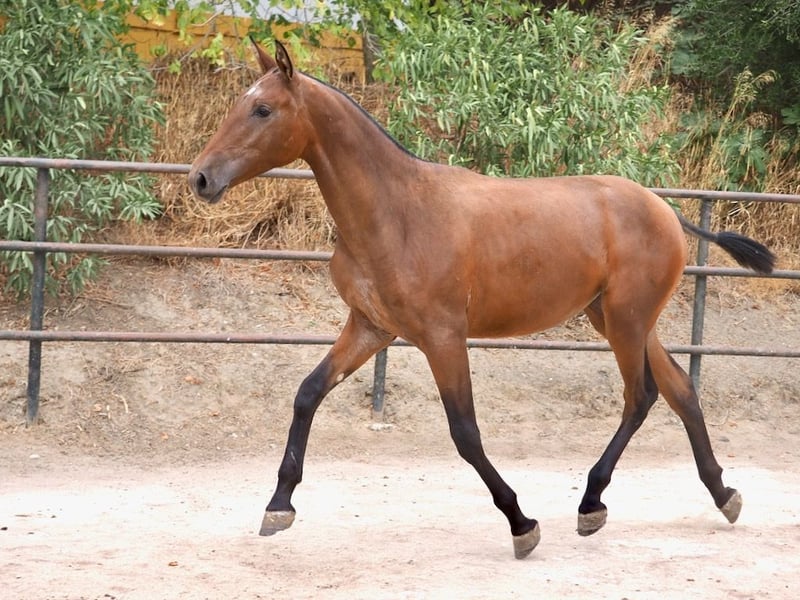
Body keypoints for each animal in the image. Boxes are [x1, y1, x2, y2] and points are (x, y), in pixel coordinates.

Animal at [188, 40, 775, 559]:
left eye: (263, 109)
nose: (200, 178)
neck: (397, 213)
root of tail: (664, 208)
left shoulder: (443, 337)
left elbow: (465, 433)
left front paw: (522, 524)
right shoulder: (370, 328)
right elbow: (307, 393)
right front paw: (278, 506)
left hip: (626, 321)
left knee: (642, 396)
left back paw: (591, 503)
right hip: (616, 318)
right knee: (680, 391)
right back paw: (723, 495)